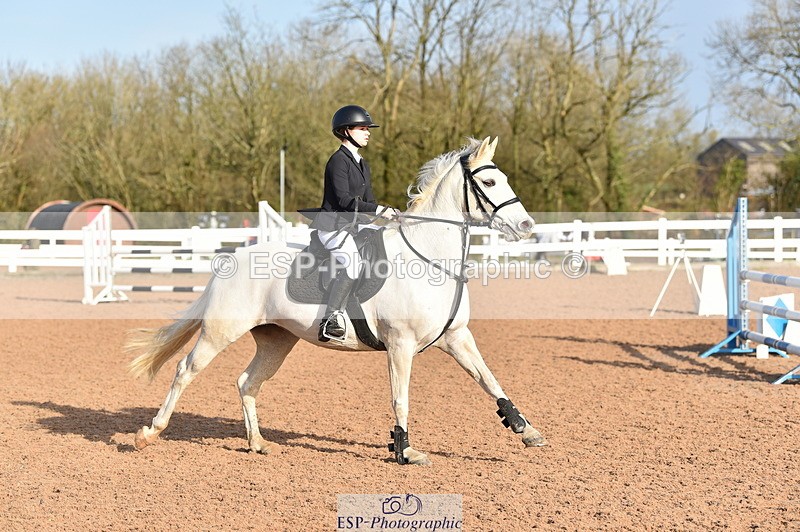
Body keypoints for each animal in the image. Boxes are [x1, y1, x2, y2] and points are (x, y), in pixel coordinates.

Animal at [127, 136, 547, 465]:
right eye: (489, 181)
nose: (527, 226)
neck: (429, 258)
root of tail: (230, 259)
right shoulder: (400, 345)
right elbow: (400, 398)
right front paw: (405, 451)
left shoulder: (457, 337)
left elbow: (490, 380)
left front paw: (526, 430)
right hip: (220, 332)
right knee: (185, 370)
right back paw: (148, 434)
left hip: (276, 340)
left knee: (247, 382)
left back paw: (257, 443)